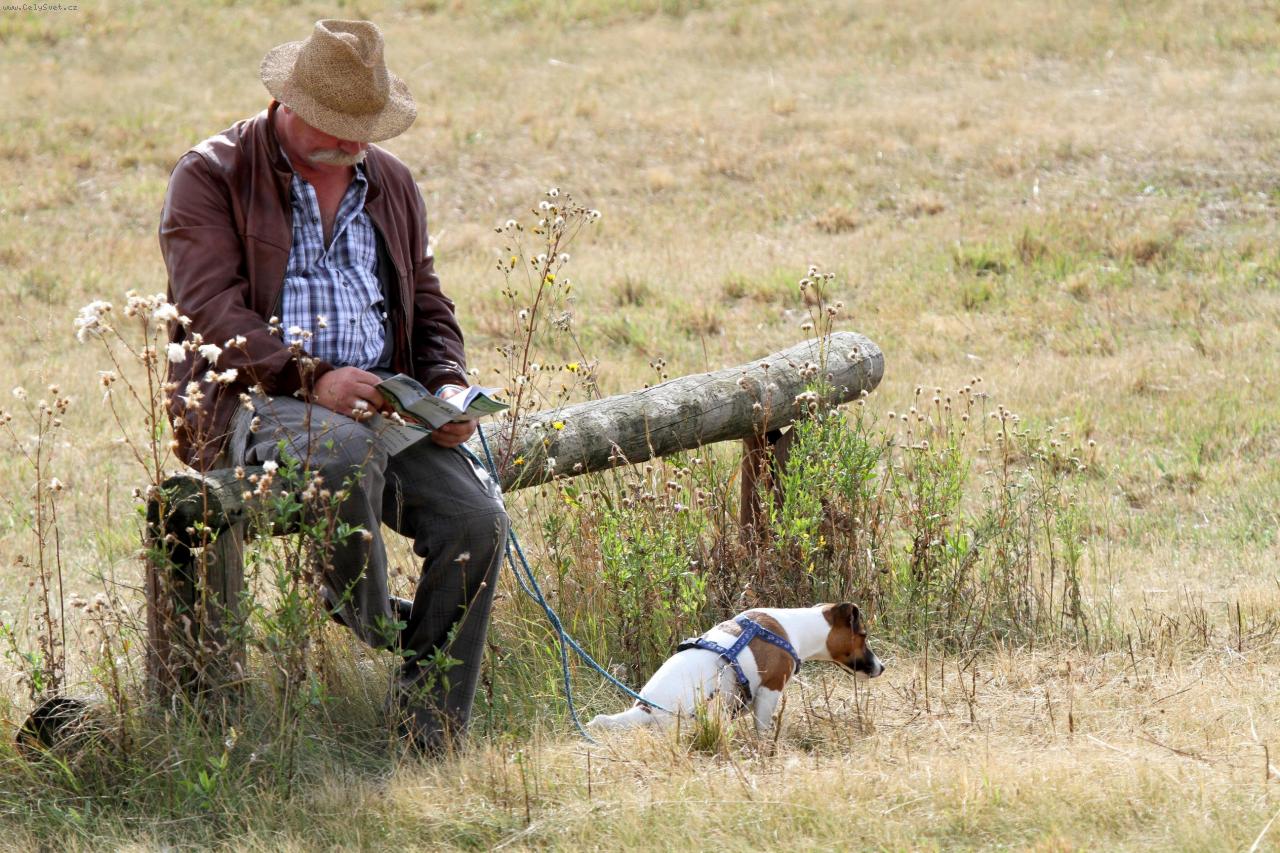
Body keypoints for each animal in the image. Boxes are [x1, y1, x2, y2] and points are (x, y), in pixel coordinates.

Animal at [588, 603, 884, 735]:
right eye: (864, 636)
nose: (882, 667)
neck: (794, 627)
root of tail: (645, 709)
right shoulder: (769, 691)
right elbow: (763, 730)